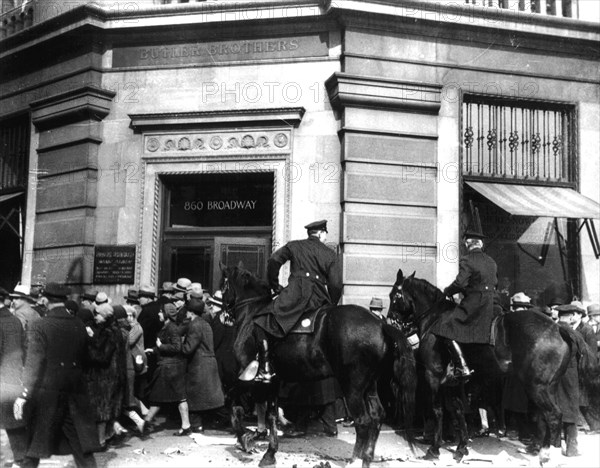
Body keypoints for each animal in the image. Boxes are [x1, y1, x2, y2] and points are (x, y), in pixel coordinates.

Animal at [220, 266, 418, 466]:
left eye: (223, 285)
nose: (222, 313)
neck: (251, 315)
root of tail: (380, 324)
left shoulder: (250, 379)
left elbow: (232, 403)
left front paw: (245, 439)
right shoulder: (274, 382)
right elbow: (271, 416)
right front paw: (269, 452)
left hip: (352, 388)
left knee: (362, 421)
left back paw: (354, 460)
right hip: (369, 385)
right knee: (377, 415)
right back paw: (366, 457)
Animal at [390, 270, 600, 464]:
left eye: (395, 295)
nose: (391, 321)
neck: (435, 317)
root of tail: (558, 328)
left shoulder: (433, 375)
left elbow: (438, 411)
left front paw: (434, 449)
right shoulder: (453, 383)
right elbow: (457, 411)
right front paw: (461, 448)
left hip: (537, 387)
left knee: (553, 415)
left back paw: (549, 456)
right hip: (549, 386)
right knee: (546, 417)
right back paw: (543, 451)